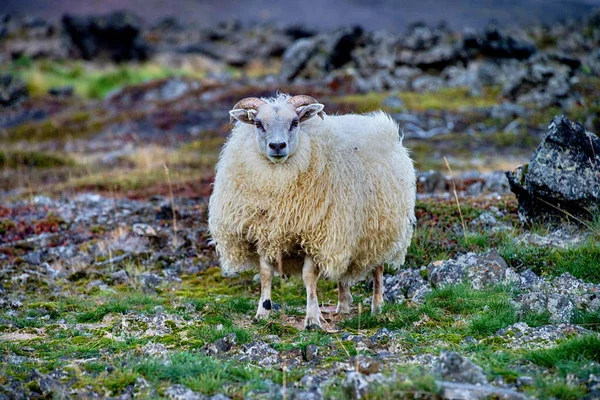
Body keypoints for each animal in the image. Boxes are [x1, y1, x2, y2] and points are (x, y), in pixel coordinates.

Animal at [209, 94, 414, 332]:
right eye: (258, 124)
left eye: (295, 122)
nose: (277, 146)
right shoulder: (264, 234)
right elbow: (266, 274)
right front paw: (263, 312)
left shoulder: (313, 235)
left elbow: (309, 278)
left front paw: (312, 319)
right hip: (345, 233)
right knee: (342, 272)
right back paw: (343, 306)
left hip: (379, 229)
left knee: (378, 270)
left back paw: (377, 307)